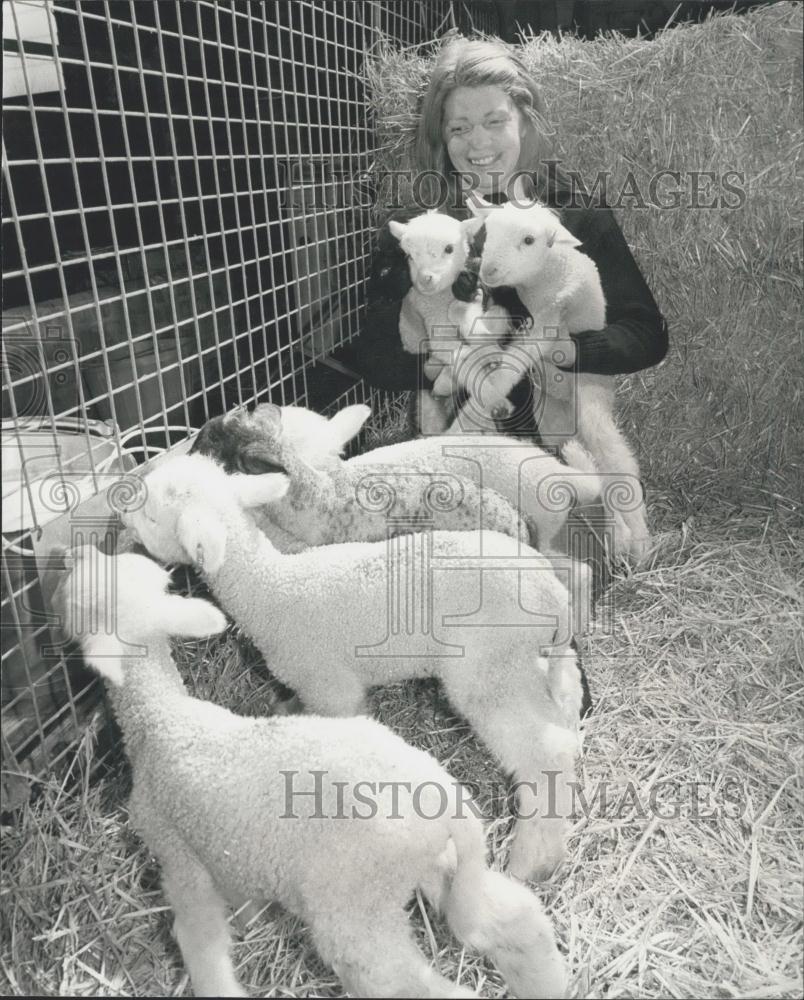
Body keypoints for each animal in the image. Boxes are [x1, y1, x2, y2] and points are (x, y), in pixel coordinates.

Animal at [53, 544, 564, 996]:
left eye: (79, 597)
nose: (71, 553)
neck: (159, 719)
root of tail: (450, 803)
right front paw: (253, 919)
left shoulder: (178, 855)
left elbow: (202, 945)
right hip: (434, 868)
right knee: (514, 919)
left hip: (353, 906)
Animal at [122, 454, 584, 884]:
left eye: (152, 514)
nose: (122, 510)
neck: (270, 588)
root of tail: (553, 593)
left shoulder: (331, 687)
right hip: (524, 661)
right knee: (564, 713)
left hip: (489, 670)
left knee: (546, 751)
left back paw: (529, 861)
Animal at [464, 195, 652, 564]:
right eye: (488, 232)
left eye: (529, 240)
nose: (488, 271)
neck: (542, 277)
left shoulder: (551, 318)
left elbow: (513, 363)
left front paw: (486, 396)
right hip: (552, 420)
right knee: (589, 466)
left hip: (590, 397)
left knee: (616, 462)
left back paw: (637, 540)